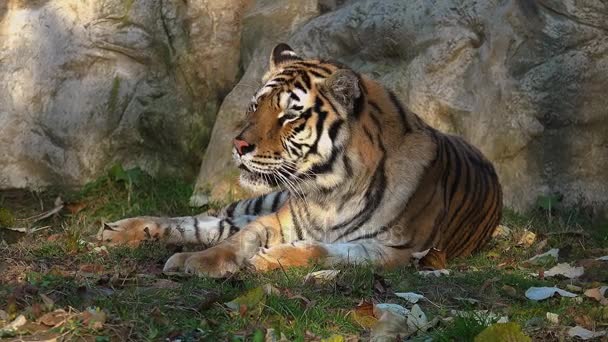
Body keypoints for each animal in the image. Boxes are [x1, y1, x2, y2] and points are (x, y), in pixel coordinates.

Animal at [101, 43, 504, 278]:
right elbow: (238, 240)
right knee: (203, 221)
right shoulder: (276, 219)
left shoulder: (395, 252)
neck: (332, 193)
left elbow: (322, 251)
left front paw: (268, 259)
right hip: (260, 201)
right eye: (255, 106)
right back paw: (119, 229)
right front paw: (197, 262)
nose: (238, 144)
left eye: (289, 116)